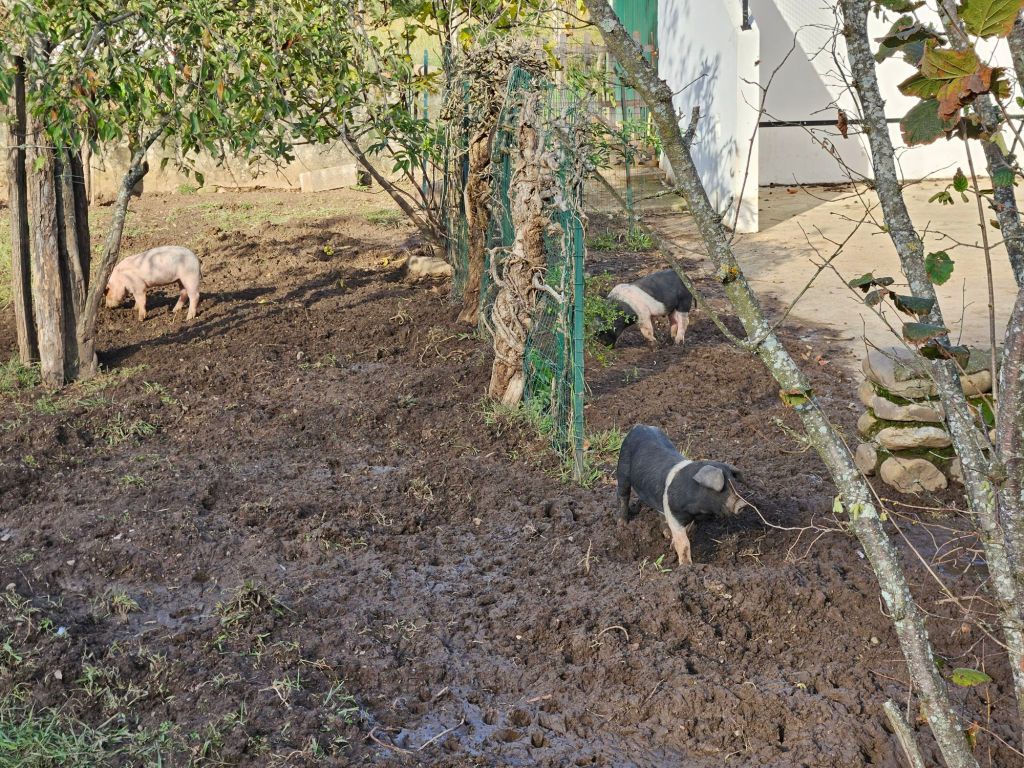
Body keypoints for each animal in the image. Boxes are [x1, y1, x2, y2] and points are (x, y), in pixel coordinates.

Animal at [615, 424, 745, 565]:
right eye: (723, 489)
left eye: (735, 485)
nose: (742, 504)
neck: (697, 509)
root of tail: (639, 426)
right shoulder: (674, 514)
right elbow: (684, 543)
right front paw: (686, 565)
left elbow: (687, 531)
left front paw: (672, 545)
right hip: (622, 470)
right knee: (623, 496)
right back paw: (622, 524)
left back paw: (666, 534)